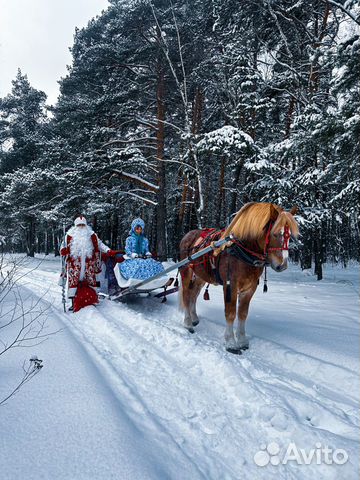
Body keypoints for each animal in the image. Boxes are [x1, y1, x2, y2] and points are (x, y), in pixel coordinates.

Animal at [179, 201, 300, 354]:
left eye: (290, 236)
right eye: (275, 234)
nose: (282, 265)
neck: (243, 251)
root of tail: (187, 235)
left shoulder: (250, 288)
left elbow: (243, 313)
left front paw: (242, 340)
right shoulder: (230, 285)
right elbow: (230, 313)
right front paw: (231, 342)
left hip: (201, 276)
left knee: (194, 294)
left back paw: (194, 318)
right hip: (186, 271)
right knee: (186, 295)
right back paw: (188, 323)